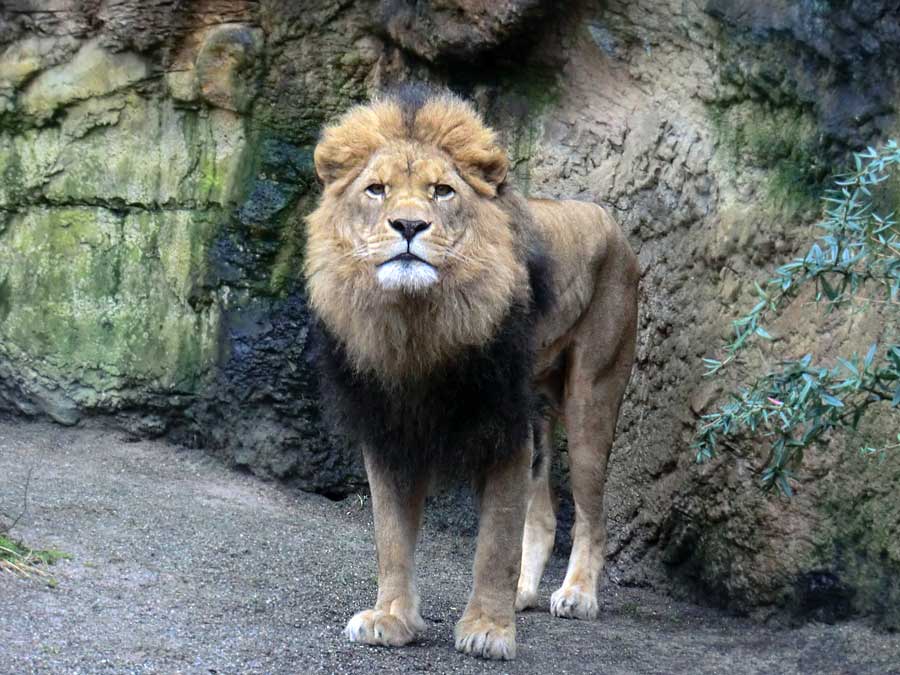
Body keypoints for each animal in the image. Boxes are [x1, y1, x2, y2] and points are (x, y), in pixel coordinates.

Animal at [304, 87, 640, 664]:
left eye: (442, 191)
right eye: (376, 190)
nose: (409, 227)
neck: (418, 323)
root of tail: (606, 216)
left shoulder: (503, 428)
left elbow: (495, 543)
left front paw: (488, 629)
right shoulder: (388, 429)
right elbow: (391, 535)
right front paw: (392, 619)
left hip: (591, 397)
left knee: (591, 514)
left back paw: (577, 595)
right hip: (539, 408)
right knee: (544, 512)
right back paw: (525, 592)